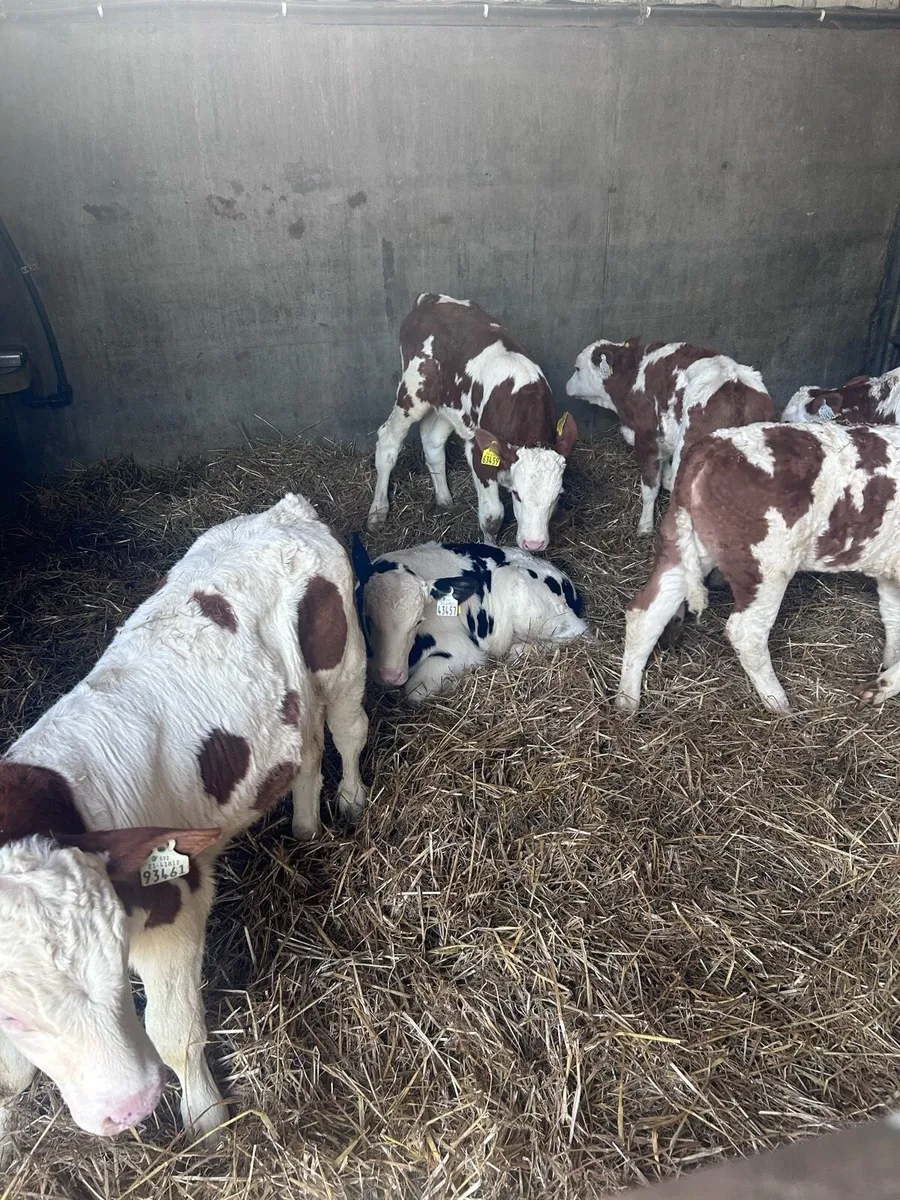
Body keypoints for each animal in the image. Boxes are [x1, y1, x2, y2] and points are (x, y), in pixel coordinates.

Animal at [0, 494, 368, 1162]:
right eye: (14, 1014)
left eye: (117, 965)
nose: (129, 1107)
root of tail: (285, 511)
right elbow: (9, 1075)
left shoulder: (176, 901)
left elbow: (173, 1032)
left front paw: (206, 1120)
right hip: (289, 705)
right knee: (303, 752)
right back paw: (304, 829)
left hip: (341, 658)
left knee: (349, 730)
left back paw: (350, 802)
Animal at [351, 535, 588, 702]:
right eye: (368, 618)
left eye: (418, 621)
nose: (391, 676)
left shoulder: (461, 650)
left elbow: (414, 692)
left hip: (519, 589)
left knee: (581, 633)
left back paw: (520, 650)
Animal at [367, 292, 577, 552]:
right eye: (517, 494)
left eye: (556, 496)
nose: (534, 543)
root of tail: (429, 299)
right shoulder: (480, 455)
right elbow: (492, 516)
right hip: (412, 393)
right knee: (388, 441)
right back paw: (377, 512)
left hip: (451, 407)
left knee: (433, 441)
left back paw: (444, 499)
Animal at [565, 339, 774, 534]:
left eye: (577, 368)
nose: (566, 386)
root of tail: (734, 382)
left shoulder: (646, 437)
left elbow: (650, 487)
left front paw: (645, 527)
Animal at [615, 422, 900, 713]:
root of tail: (712, 448)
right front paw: (881, 686)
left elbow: (892, 615)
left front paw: (887, 664)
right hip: (766, 565)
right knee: (746, 632)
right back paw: (778, 702)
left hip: (683, 546)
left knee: (645, 614)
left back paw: (627, 701)